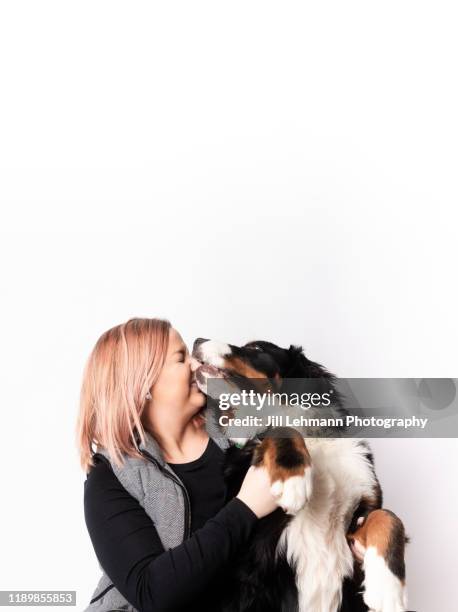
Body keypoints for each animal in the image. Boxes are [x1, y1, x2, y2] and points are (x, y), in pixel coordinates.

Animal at [191, 338, 408, 612]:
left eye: (256, 349)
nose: (196, 341)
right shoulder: (249, 545)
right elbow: (282, 429)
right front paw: (293, 482)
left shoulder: (362, 507)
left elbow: (388, 518)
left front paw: (387, 586)